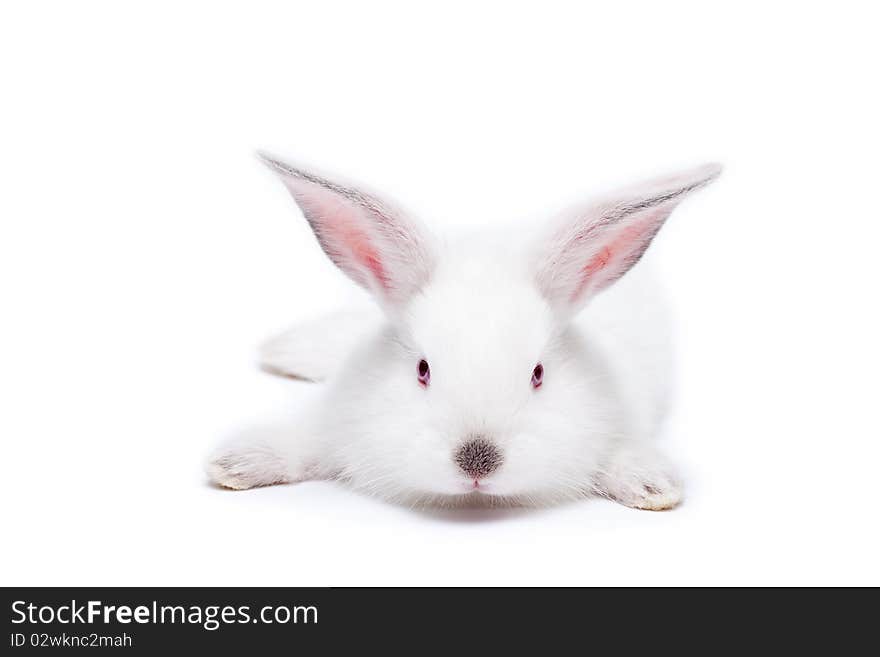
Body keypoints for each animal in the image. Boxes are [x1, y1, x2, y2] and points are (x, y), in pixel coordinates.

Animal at [208, 152, 720, 508]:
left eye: (538, 374)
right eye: (422, 369)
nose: (477, 461)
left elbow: (627, 457)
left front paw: (653, 486)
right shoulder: (332, 422)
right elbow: (298, 444)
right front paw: (235, 464)